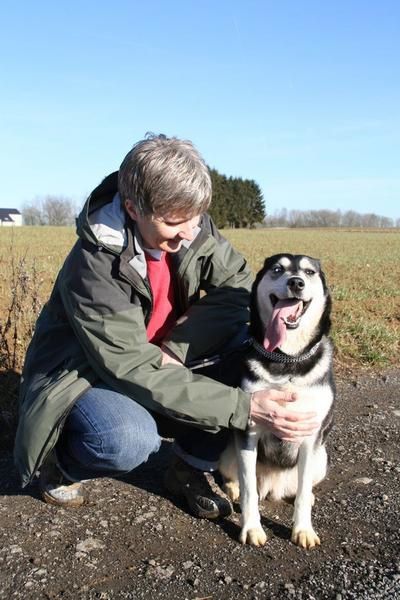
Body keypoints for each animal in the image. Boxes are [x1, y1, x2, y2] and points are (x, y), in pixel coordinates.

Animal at [219, 253, 334, 548]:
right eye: (278, 269)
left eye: (309, 272)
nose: (296, 282)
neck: (287, 360)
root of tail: (274, 487)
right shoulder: (248, 431)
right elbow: (249, 490)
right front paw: (251, 528)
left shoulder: (310, 435)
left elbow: (302, 493)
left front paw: (303, 530)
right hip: (228, 452)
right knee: (237, 478)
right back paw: (233, 488)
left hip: (321, 458)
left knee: (304, 486)